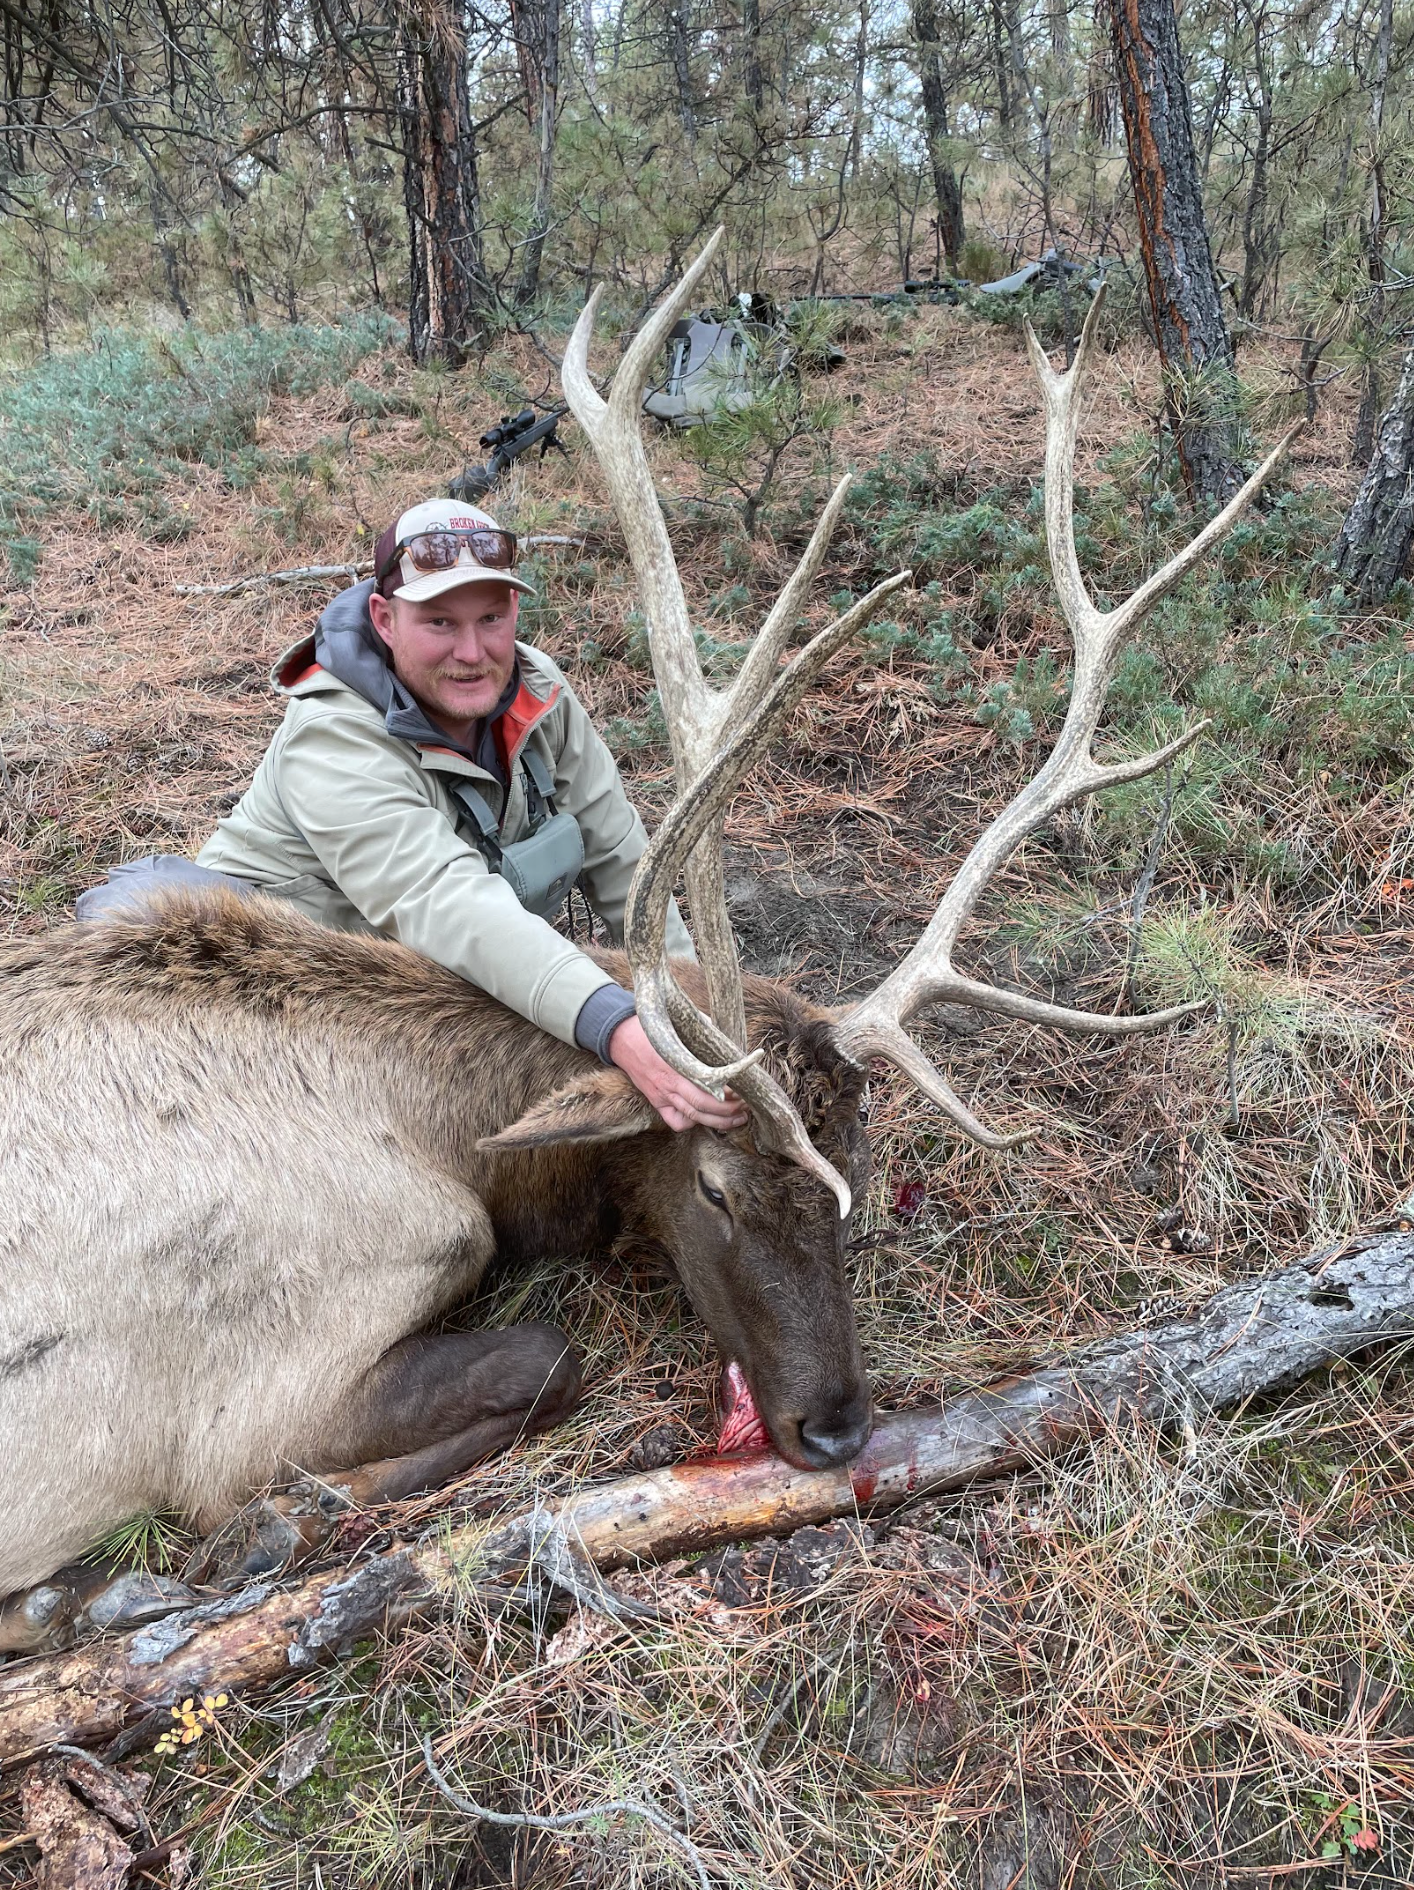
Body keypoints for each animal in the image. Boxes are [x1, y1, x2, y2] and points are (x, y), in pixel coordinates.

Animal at [0, 233, 1296, 1656]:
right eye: (717, 1189)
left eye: (854, 1170)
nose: (835, 1427)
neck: (455, 1133)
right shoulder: (253, 1389)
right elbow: (532, 1359)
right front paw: (275, 1524)